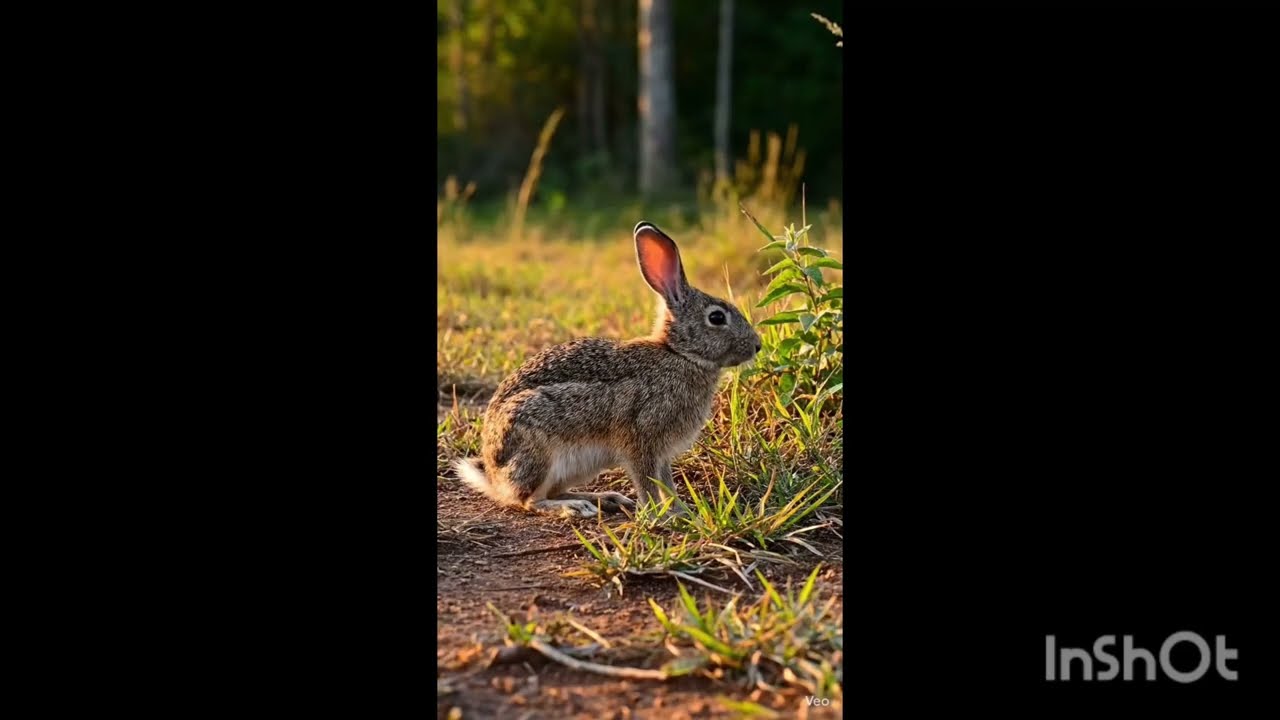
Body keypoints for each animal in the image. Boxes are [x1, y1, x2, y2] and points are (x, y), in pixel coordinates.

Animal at [453, 221, 762, 518]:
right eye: (717, 317)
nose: (757, 345)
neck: (680, 353)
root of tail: (494, 477)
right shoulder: (641, 439)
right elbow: (648, 481)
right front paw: (659, 516)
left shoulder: (662, 453)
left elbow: (666, 482)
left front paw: (680, 511)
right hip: (539, 452)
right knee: (529, 500)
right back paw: (574, 508)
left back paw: (606, 499)